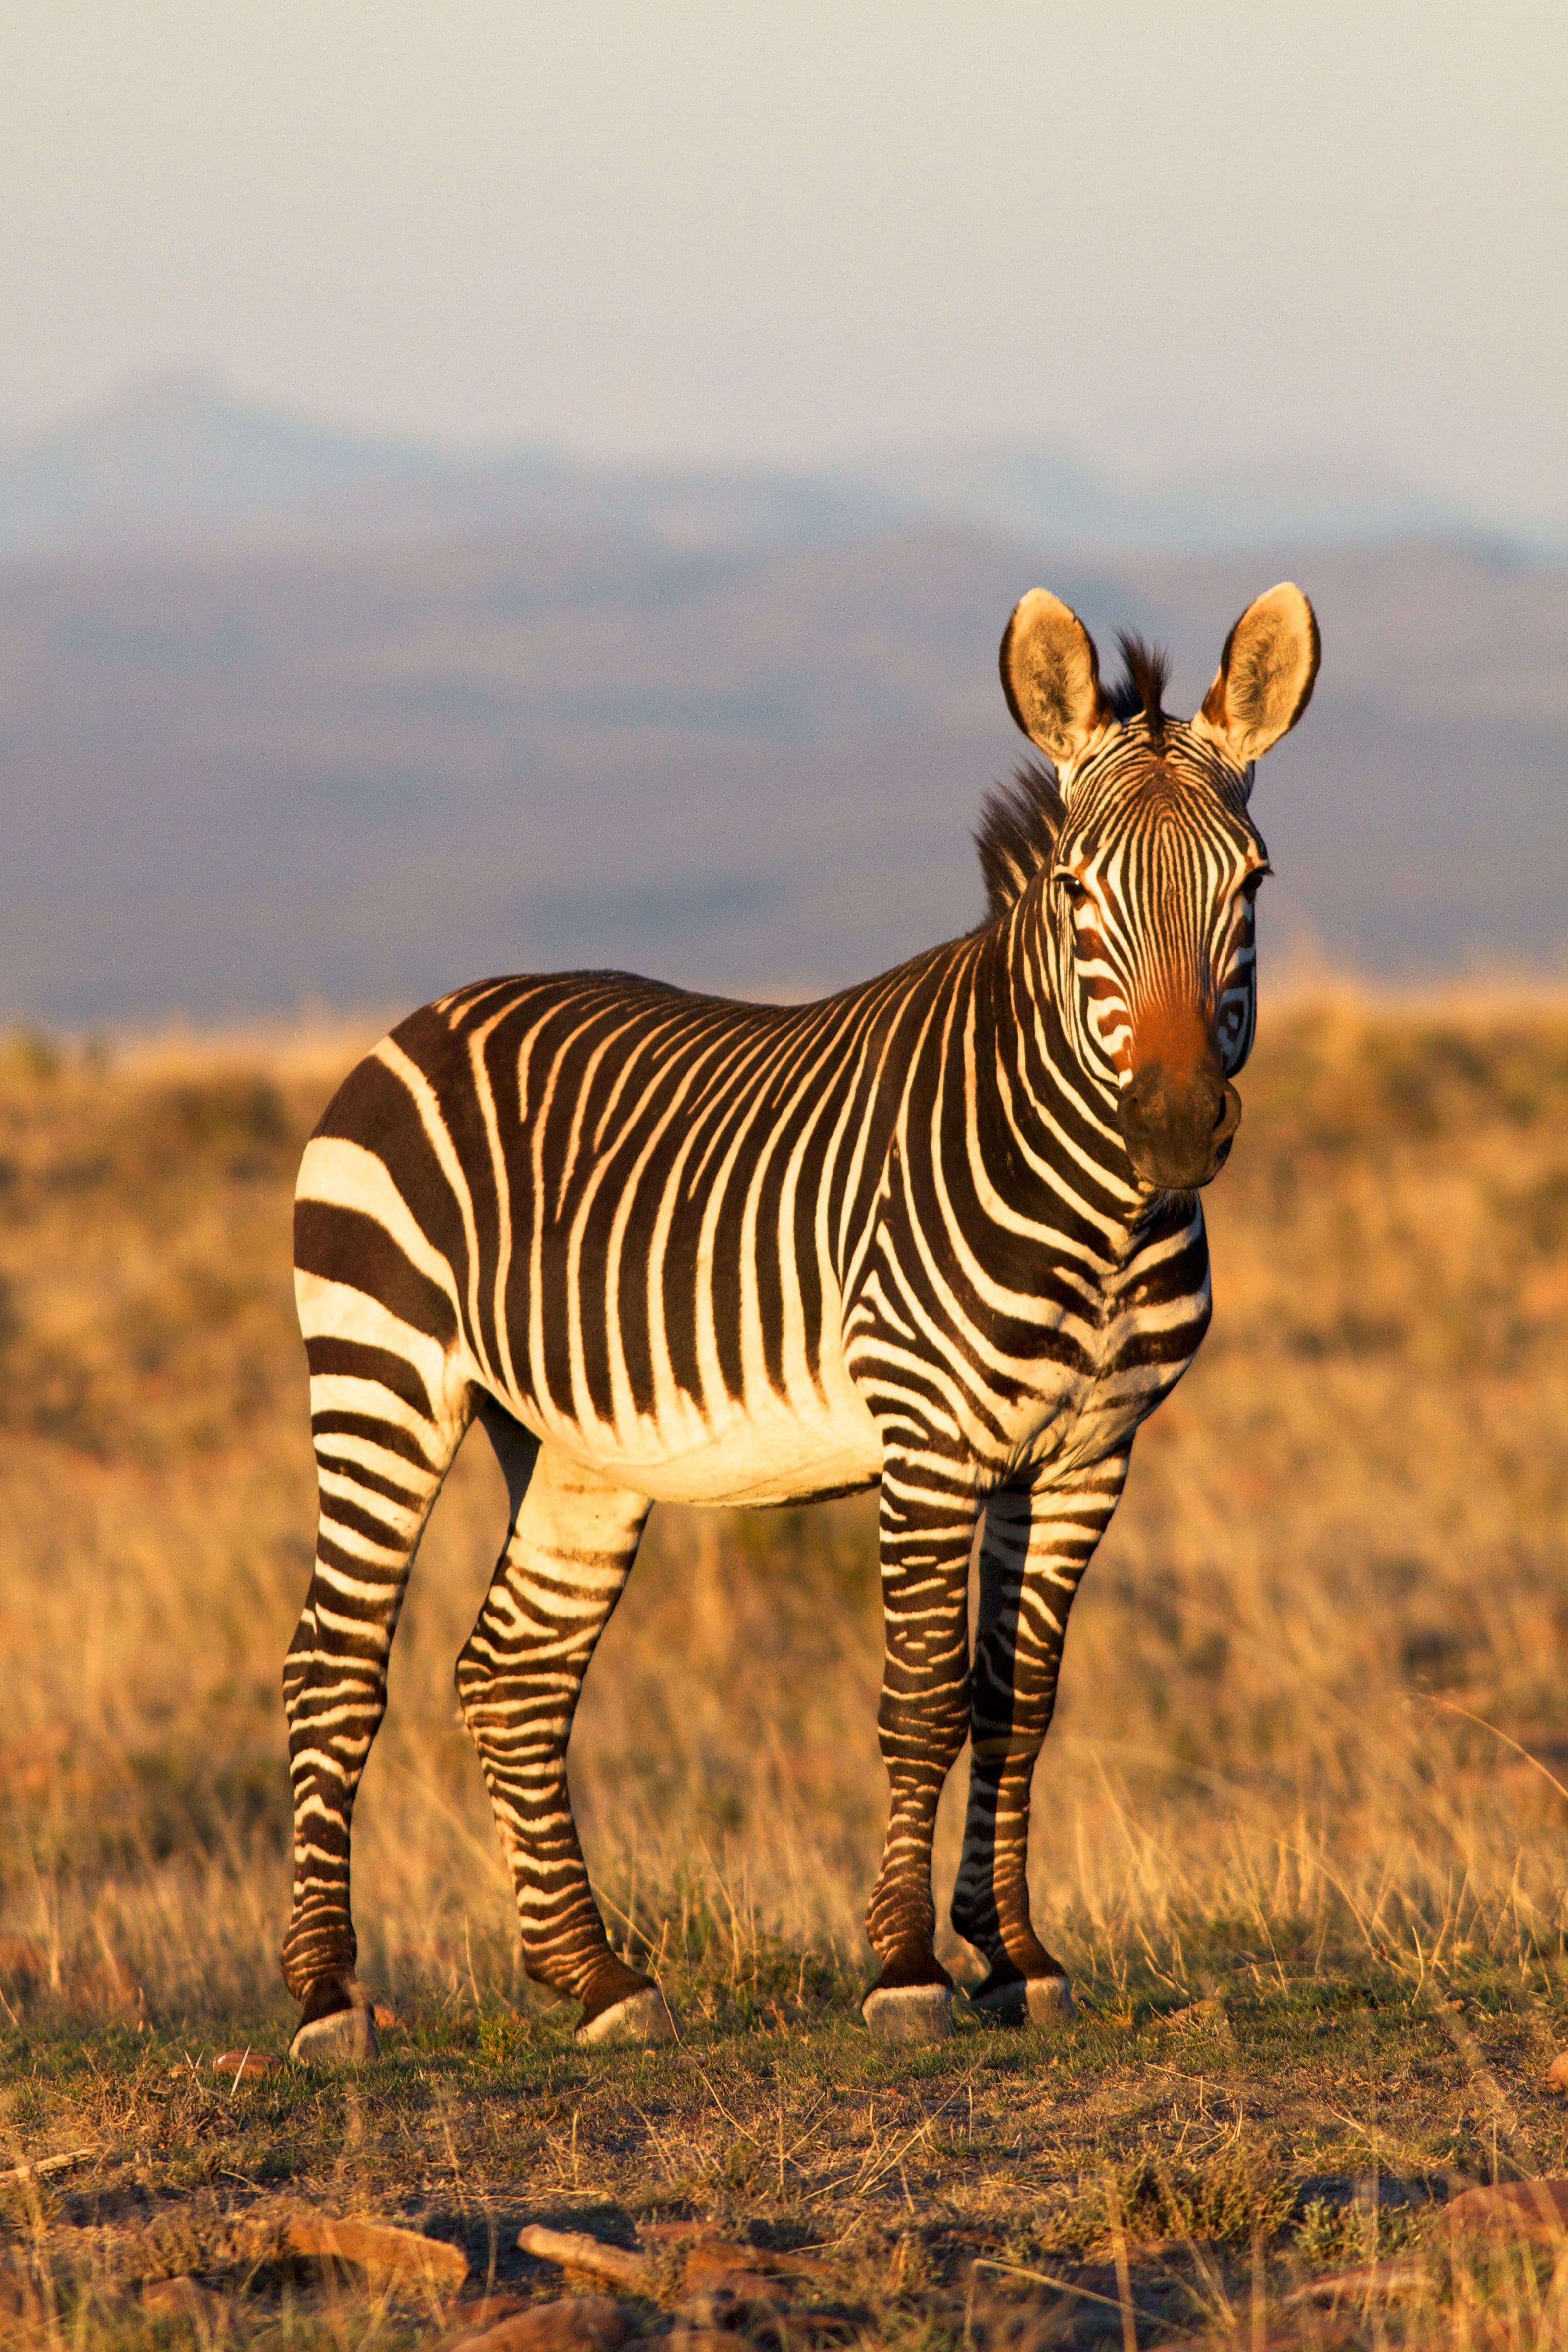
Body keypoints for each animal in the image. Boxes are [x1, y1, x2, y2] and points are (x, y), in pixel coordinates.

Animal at [282, 580, 1319, 2061]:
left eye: (1251, 884)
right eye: (1076, 892)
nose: (1174, 1127)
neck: (1101, 1217)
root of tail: (420, 1019)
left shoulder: (1084, 1457)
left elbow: (1017, 1700)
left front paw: (1015, 1954)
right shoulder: (928, 1438)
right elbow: (924, 1696)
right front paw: (905, 1968)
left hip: (578, 1447)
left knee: (512, 1676)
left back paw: (594, 1978)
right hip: (381, 1379)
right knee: (333, 1668)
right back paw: (326, 1998)